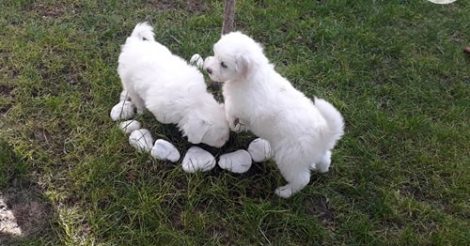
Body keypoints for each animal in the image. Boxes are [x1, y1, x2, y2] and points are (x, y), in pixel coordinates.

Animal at [203, 32, 346, 198]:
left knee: (302, 180)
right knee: (325, 158)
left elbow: (231, 116)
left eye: (224, 64)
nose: (208, 69)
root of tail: (323, 133)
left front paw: (231, 123)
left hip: (289, 159)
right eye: (214, 54)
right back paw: (322, 168)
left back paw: (284, 192)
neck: (252, 75)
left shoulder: (236, 106)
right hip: (312, 153)